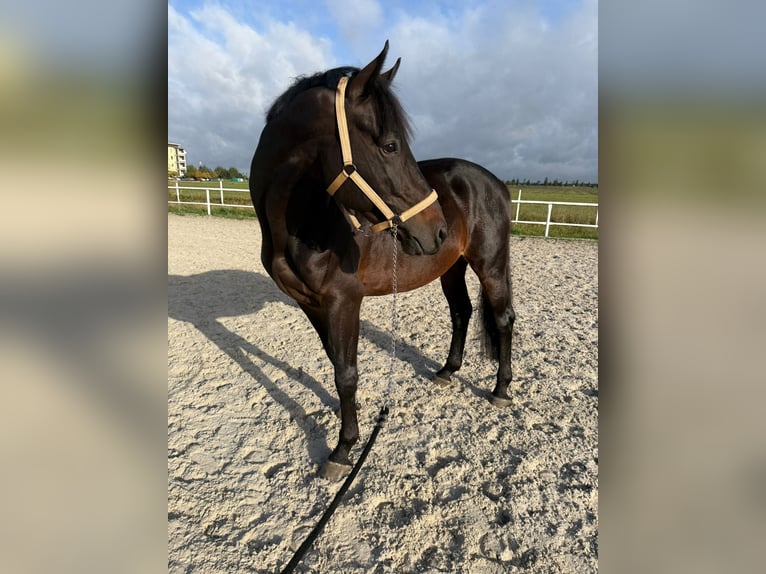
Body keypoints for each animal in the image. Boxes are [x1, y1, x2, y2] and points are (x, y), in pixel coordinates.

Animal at [249, 42, 515, 480]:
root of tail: (497, 184)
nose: (437, 229)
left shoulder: (344, 302)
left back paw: (501, 390)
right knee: (461, 311)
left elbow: (346, 372)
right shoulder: (311, 304)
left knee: (503, 318)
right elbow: (336, 363)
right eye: (390, 145)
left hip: (490, 266)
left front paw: (343, 449)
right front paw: (345, 421)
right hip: (451, 268)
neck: (308, 221)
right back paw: (447, 372)